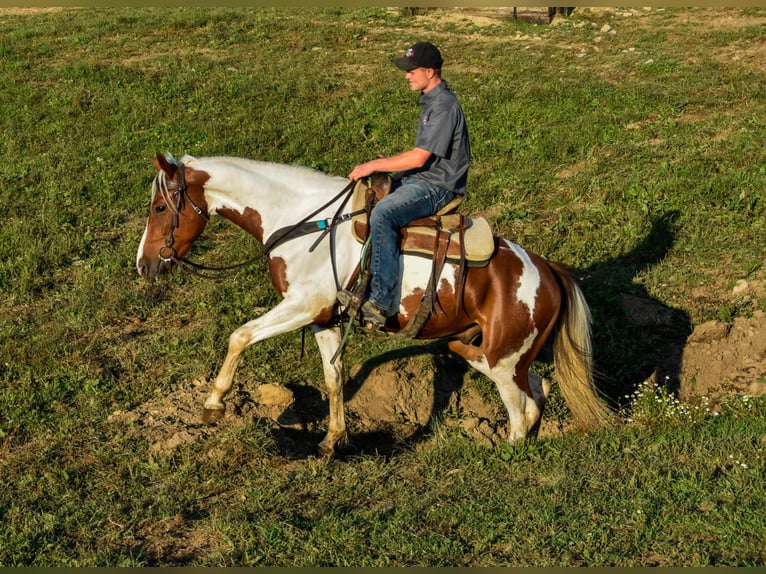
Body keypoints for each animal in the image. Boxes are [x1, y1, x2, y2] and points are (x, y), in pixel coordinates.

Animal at [136, 152, 613, 457]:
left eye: (160, 207)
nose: (144, 265)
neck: (304, 221)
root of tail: (548, 270)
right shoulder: (324, 320)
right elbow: (333, 378)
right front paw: (332, 441)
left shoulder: (301, 306)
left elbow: (240, 335)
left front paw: (213, 403)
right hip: (493, 351)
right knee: (536, 391)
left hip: (503, 358)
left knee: (518, 409)